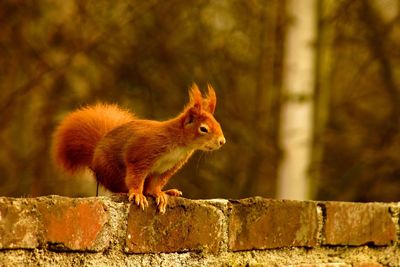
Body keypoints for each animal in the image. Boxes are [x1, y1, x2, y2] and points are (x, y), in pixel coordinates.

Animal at [51, 84, 225, 214]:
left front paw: (159, 194)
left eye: (217, 123)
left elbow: (155, 185)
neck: (179, 145)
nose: (222, 141)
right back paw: (124, 192)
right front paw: (136, 194)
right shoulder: (143, 153)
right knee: (117, 186)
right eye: (203, 129)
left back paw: (169, 191)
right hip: (111, 171)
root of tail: (94, 154)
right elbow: (136, 176)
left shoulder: (168, 168)